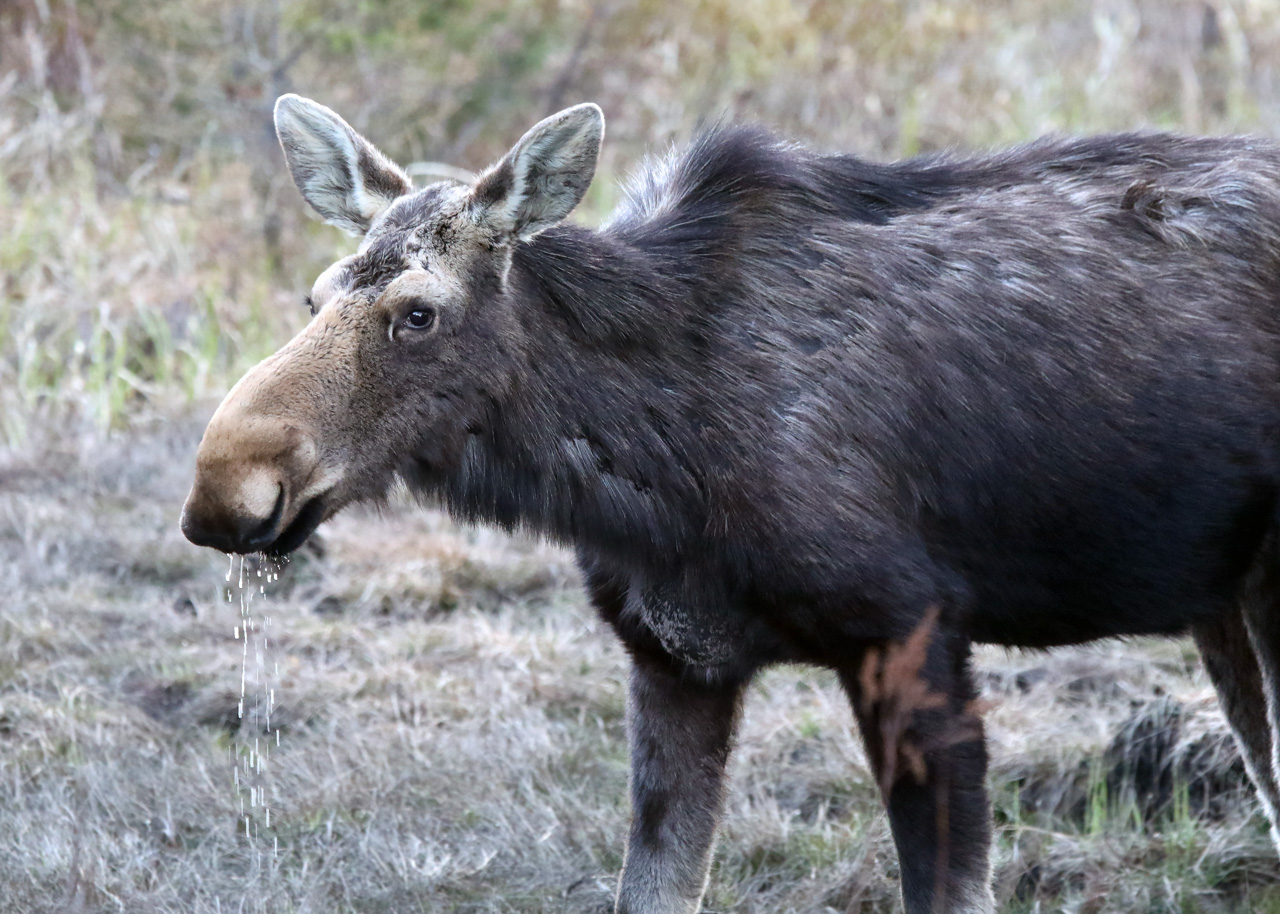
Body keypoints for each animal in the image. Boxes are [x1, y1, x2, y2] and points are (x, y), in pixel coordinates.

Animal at [181, 94, 1280, 913]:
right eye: (316, 297)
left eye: (417, 313)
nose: (224, 486)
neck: (653, 474)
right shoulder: (672, 658)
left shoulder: (911, 630)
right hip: (1222, 603)